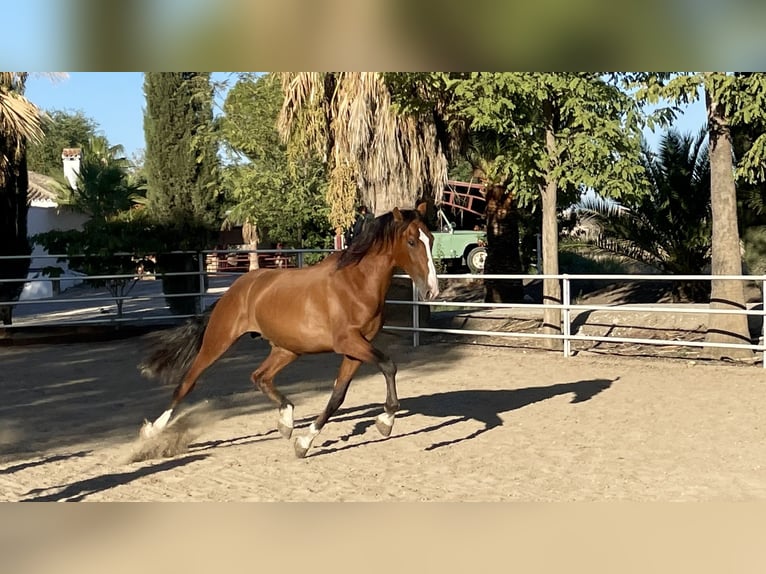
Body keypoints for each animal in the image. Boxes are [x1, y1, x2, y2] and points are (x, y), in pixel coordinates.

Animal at [138, 205, 438, 462]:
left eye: (432, 239)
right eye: (412, 241)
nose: (431, 291)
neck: (355, 285)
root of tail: (235, 289)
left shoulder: (357, 348)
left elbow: (337, 396)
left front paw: (304, 443)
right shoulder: (349, 342)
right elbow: (388, 365)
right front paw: (386, 421)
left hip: (287, 349)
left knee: (259, 376)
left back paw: (286, 420)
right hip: (218, 341)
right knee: (188, 382)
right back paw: (152, 431)